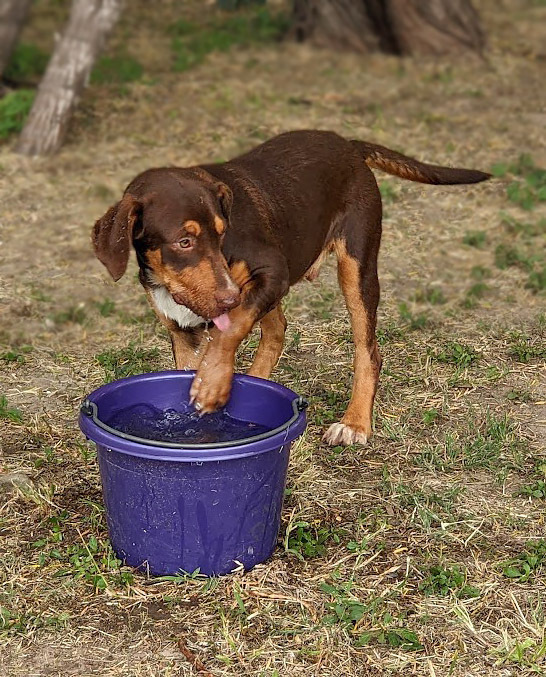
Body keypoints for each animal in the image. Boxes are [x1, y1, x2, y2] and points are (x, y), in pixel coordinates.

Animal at [93, 131, 488, 448]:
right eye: (184, 241)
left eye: (222, 233)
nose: (228, 297)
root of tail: (347, 143)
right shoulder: (183, 330)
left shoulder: (272, 273)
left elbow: (230, 330)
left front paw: (212, 385)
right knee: (277, 330)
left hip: (356, 268)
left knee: (368, 351)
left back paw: (354, 423)